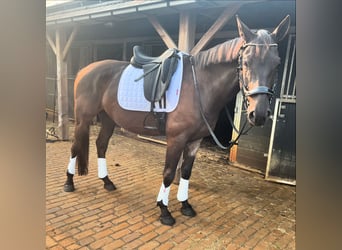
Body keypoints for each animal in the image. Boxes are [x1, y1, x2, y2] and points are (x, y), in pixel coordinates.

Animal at [63, 15, 288, 227]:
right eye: (246, 62)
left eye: (277, 64)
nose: (259, 114)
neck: (200, 86)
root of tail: (84, 70)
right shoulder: (176, 139)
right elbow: (169, 173)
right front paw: (164, 211)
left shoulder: (195, 141)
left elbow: (186, 172)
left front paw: (185, 205)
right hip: (82, 120)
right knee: (75, 147)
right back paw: (69, 183)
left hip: (109, 119)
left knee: (101, 144)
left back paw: (107, 182)